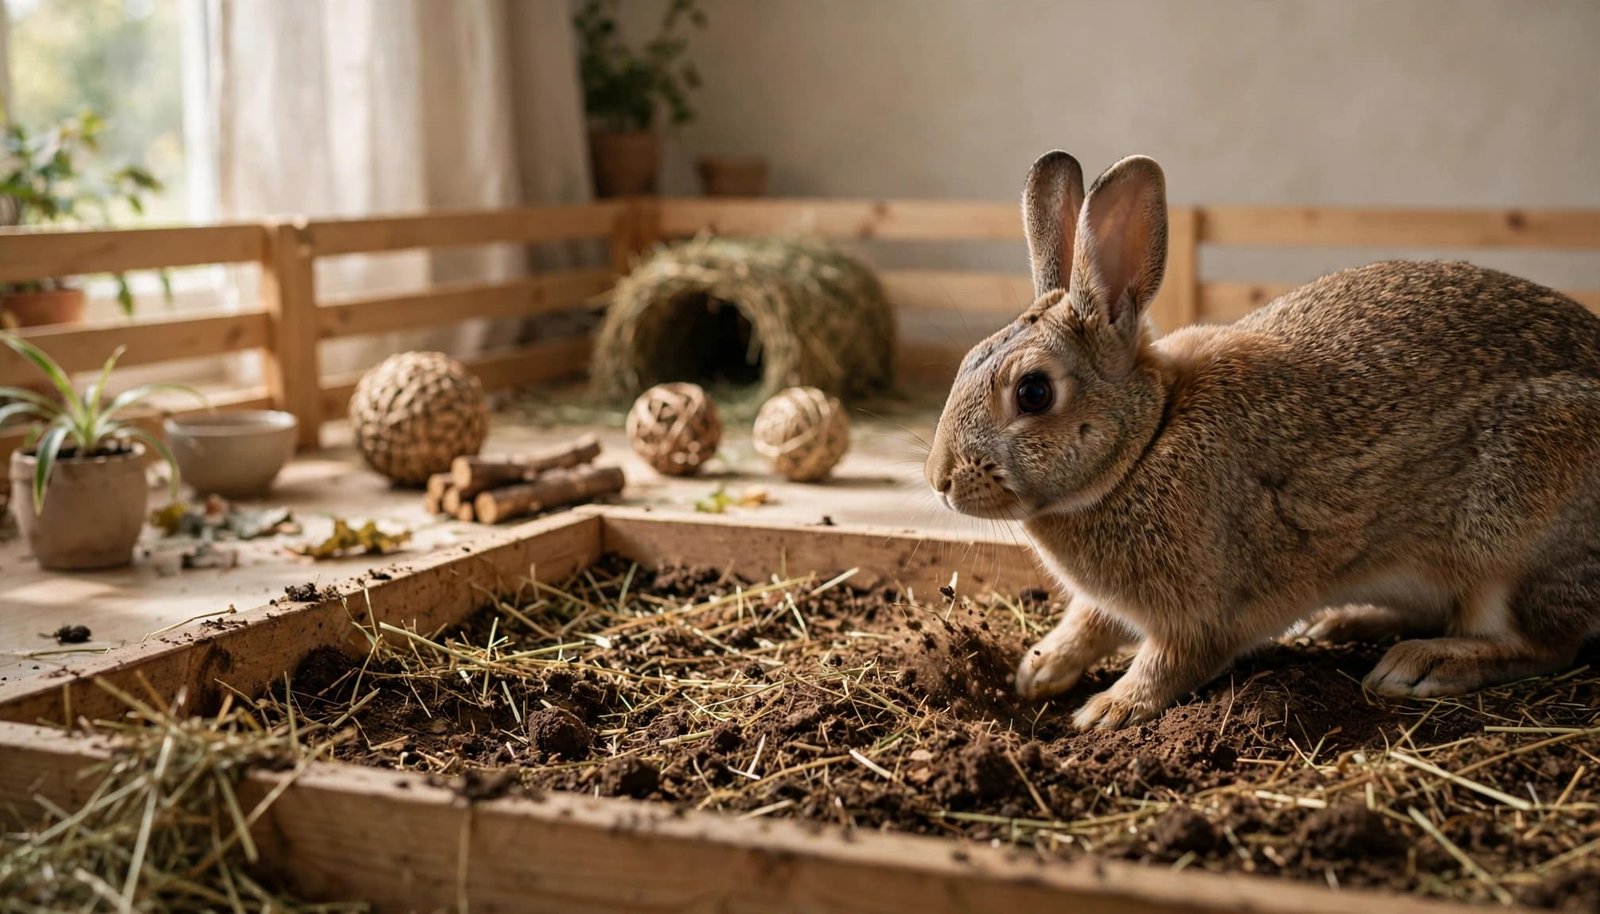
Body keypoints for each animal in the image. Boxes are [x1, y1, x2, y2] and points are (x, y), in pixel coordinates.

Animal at [924, 150, 1600, 730]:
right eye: (965, 360)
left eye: (1034, 392)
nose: (940, 479)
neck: (1146, 441)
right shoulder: (1111, 605)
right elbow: (1087, 624)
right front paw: (1036, 671)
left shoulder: (1209, 610)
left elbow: (1171, 661)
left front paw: (1108, 710)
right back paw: (1337, 624)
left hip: (1515, 538)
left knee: (1545, 643)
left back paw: (1419, 663)